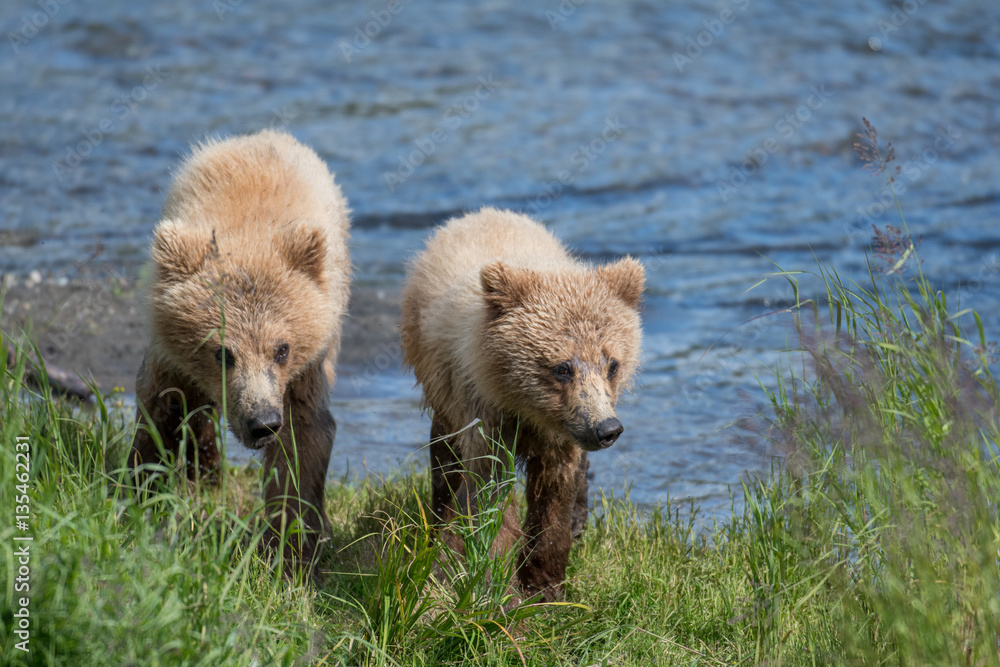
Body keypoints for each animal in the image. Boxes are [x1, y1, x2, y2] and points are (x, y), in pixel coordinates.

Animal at [128, 129, 351, 567]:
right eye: (222, 352)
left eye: (282, 349)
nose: (261, 421)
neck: (248, 235)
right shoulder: (172, 357)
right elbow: (161, 409)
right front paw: (141, 494)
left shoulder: (301, 373)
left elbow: (302, 442)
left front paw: (290, 549)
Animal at [400, 207, 644, 601]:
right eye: (562, 366)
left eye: (612, 364)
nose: (607, 429)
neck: (524, 405)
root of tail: (481, 212)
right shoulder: (485, 414)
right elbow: (489, 493)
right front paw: (496, 580)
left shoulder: (560, 430)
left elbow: (555, 492)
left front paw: (545, 583)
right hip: (439, 383)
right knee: (444, 453)